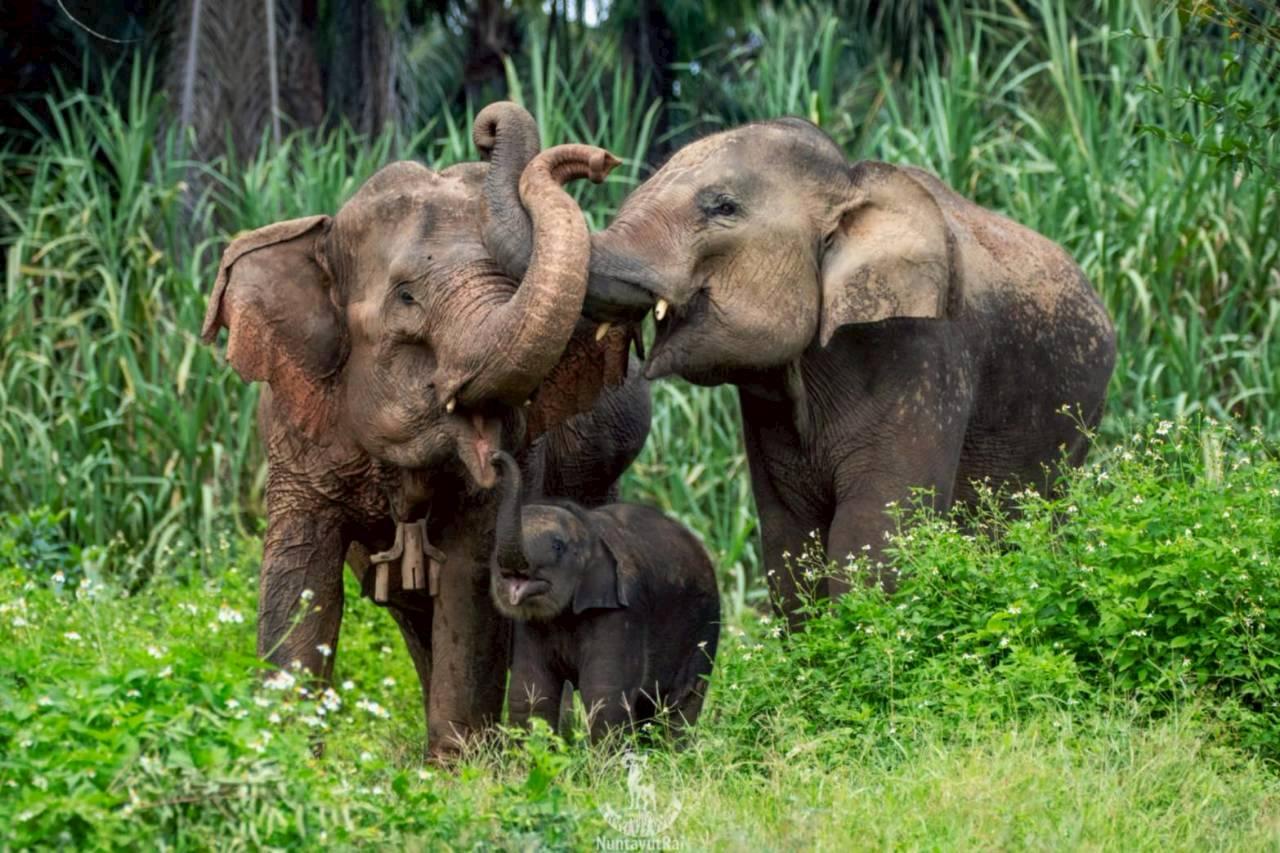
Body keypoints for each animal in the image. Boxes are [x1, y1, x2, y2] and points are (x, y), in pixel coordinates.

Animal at [201, 102, 650, 759]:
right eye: (407, 297)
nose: (603, 161)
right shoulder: (295, 431)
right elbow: (300, 580)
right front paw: (286, 755)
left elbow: (472, 582)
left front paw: (461, 768)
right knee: (410, 610)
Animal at [489, 451, 720, 742]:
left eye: (558, 546)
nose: (494, 458)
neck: (588, 528)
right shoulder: (531, 624)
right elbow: (531, 692)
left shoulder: (623, 609)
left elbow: (604, 694)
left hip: (706, 625)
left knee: (683, 699)